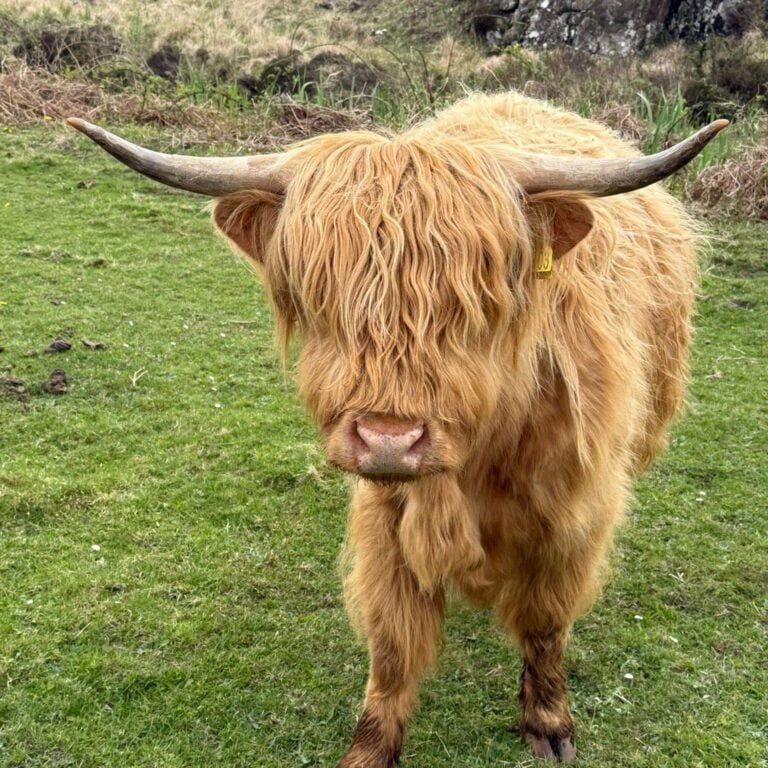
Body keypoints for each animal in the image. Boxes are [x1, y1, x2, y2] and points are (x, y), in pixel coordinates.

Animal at [67, 93, 727, 765]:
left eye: (476, 301)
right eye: (320, 298)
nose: (389, 440)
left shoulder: (572, 516)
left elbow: (545, 623)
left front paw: (548, 722)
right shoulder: (387, 515)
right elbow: (391, 642)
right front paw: (369, 746)